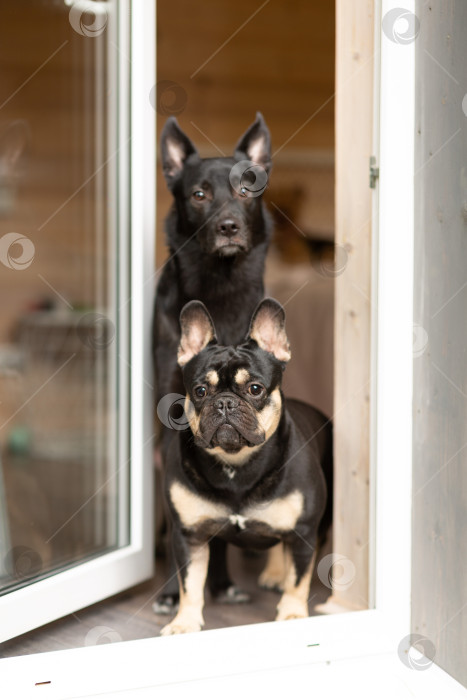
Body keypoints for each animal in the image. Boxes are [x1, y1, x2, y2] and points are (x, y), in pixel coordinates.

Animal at [152, 112, 276, 608]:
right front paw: (175, 591)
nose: (227, 227)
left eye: (246, 188)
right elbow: (182, 514)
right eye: (199, 194)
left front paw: (220, 581)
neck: (219, 290)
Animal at [161, 298, 332, 636]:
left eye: (255, 389)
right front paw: (184, 623)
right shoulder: (190, 535)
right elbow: (190, 583)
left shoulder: (303, 531)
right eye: (200, 391)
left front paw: (292, 615)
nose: (225, 402)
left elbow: (298, 579)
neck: (235, 464)